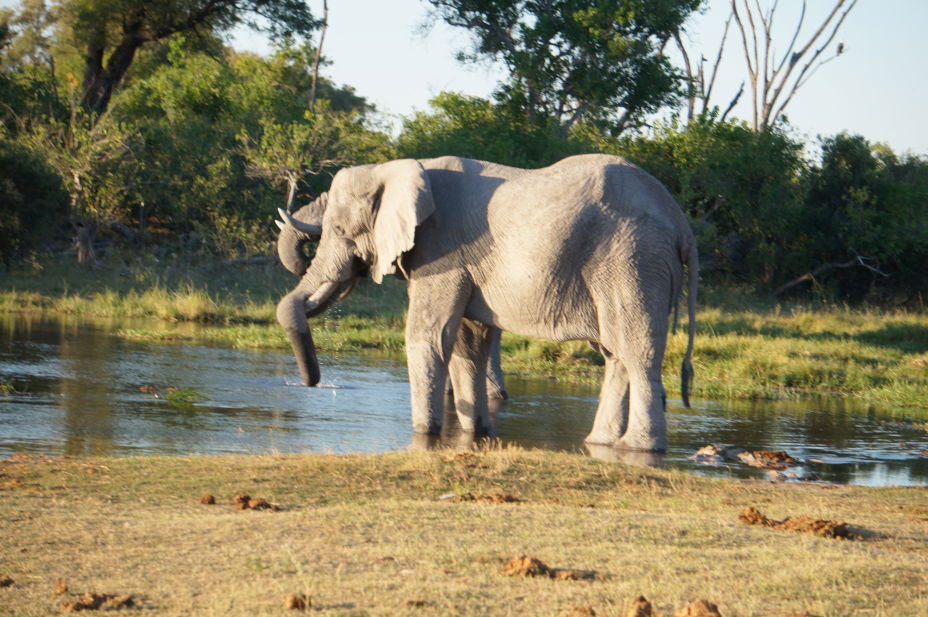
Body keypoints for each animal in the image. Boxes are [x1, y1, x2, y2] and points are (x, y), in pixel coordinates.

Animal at [276, 154, 696, 450]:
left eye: (340, 230)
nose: (313, 382)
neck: (396, 168)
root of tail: (681, 223)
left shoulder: (443, 251)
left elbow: (428, 335)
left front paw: (425, 434)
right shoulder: (464, 265)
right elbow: (468, 340)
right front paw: (477, 433)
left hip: (634, 259)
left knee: (637, 350)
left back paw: (638, 448)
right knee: (615, 353)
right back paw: (601, 443)